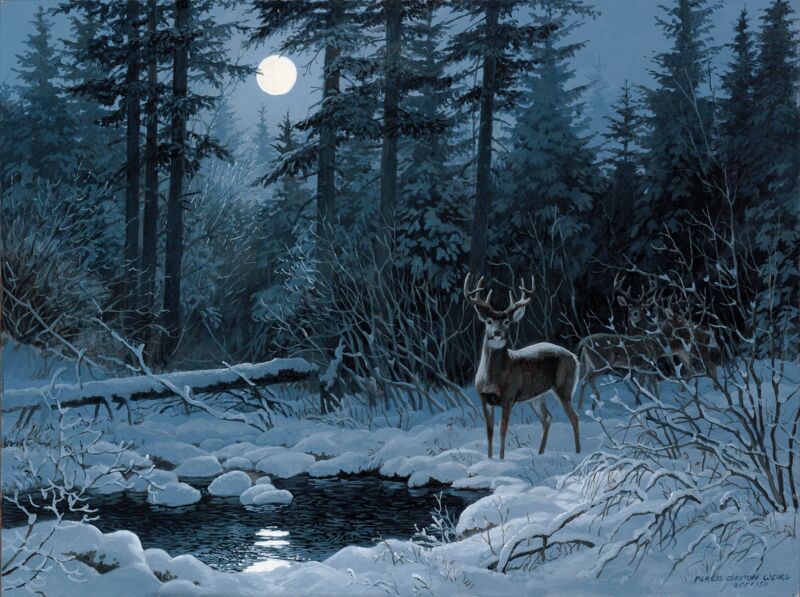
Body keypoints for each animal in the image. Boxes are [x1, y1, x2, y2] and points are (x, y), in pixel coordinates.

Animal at [464, 274, 581, 459]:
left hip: (564, 386)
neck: (491, 379)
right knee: (547, 418)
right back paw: (540, 454)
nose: (497, 333)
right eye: (489, 321)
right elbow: (489, 432)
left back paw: (578, 452)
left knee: (574, 417)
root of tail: (575, 358)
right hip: (536, 396)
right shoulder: (484, 399)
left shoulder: (508, 397)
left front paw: (501, 459)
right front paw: (489, 459)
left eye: (506, 321)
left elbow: (503, 431)